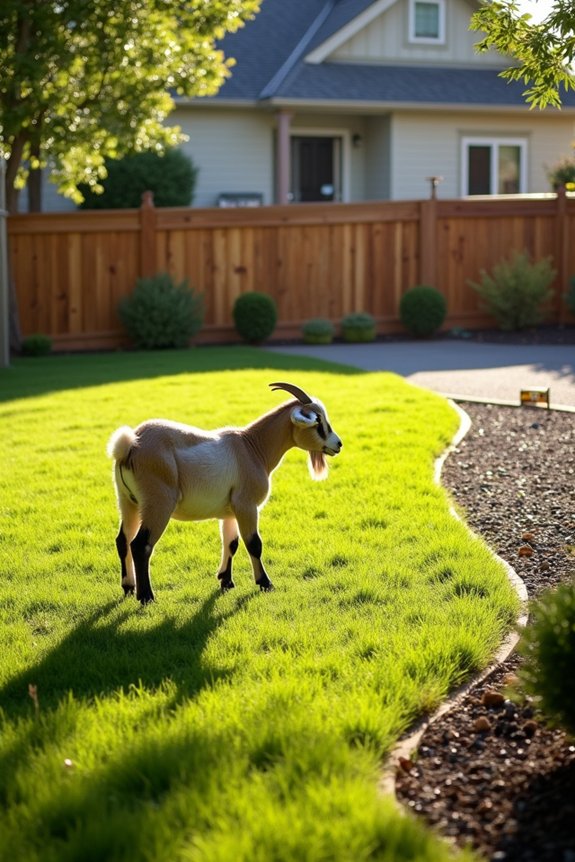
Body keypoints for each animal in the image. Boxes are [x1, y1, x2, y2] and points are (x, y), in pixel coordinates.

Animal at [107, 381, 342, 604]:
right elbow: (254, 543)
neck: (252, 447)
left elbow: (231, 543)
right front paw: (265, 583)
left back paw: (128, 587)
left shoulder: (230, 511)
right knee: (141, 545)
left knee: (123, 540)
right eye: (318, 422)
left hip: (128, 502)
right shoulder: (246, 505)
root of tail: (130, 445)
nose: (338, 444)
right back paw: (146, 596)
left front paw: (226, 581)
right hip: (158, 504)